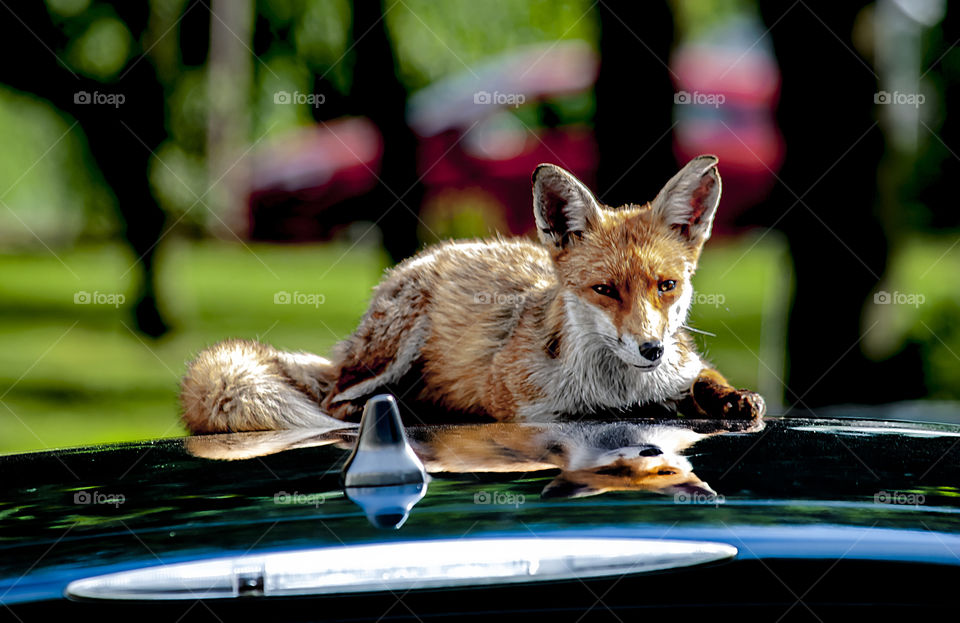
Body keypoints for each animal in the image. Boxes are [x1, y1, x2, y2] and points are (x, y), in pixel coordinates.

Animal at [180, 156, 764, 434]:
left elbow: (706, 380)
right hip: (390, 348)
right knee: (336, 400)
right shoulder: (530, 412)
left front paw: (734, 399)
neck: (617, 391)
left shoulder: (684, 366)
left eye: (666, 286)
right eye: (604, 290)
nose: (651, 349)